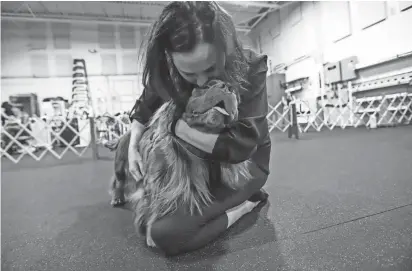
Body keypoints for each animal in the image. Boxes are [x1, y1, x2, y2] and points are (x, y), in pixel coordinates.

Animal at [109, 79, 251, 248]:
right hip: (121, 165)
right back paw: (117, 198)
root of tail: (125, 134)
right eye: (205, 86)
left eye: (236, 93)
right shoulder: (156, 181)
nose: (229, 88)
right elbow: (153, 207)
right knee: (118, 181)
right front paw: (150, 235)